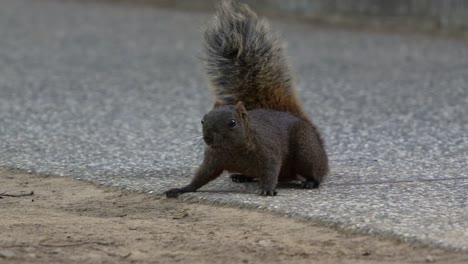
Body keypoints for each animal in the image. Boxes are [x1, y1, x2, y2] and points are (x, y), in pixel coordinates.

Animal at [165, 0, 330, 198]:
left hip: (307, 150)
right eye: (203, 120)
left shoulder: (269, 152)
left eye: (232, 123)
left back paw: (310, 182)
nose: (208, 138)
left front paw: (268, 189)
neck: (233, 149)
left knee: (315, 171)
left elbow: (270, 170)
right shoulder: (213, 160)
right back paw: (242, 176)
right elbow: (201, 176)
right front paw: (182, 189)